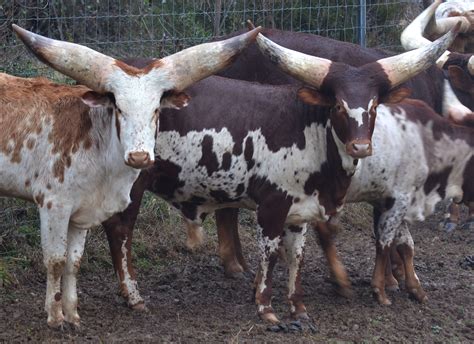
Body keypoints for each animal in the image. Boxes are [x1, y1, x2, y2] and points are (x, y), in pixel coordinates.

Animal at [0, 24, 260, 328]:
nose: (139, 157)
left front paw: (73, 314)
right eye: (119, 108)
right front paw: (55, 317)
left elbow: (73, 263)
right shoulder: (54, 205)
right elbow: (55, 261)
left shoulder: (81, 210)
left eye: (156, 110)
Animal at [101, 27, 460, 322]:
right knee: (120, 230)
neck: (309, 129)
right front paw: (266, 307)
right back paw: (133, 296)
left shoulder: (301, 209)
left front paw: (298, 307)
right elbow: (272, 254)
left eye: (373, 107)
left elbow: (297, 255)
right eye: (338, 105)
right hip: (132, 183)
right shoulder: (273, 205)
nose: (360, 147)